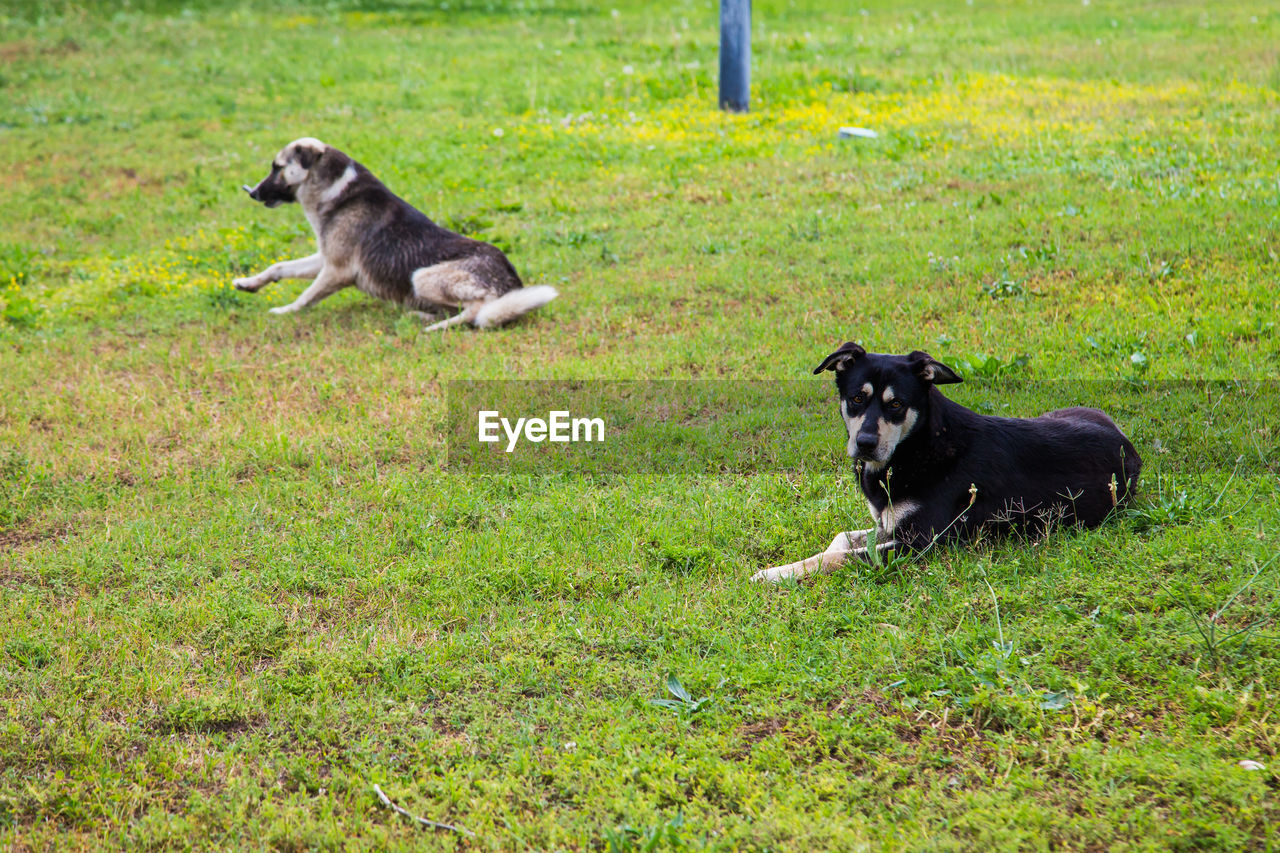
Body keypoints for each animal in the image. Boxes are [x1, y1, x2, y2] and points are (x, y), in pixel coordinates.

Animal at [235, 136, 555, 327]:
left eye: (277, 167)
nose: (252, 193)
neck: (337, 189)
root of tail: (512, 284)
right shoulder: (324, 259)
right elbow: (279, 267)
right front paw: (248, 283)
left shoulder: (337, 270)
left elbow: (305, 297)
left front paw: (284, 311)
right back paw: (421, 315)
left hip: (422, 276)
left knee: (479, 311)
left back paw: (437, 326)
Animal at [747, 343, 1141, 581]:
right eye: (857, 398)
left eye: (896, 404)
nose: (865, 444)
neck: (917, 446)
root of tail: (1128, 446)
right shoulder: (887, 526)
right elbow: (840, 540)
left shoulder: (918, 543)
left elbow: (839, 557)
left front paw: (776, 573)